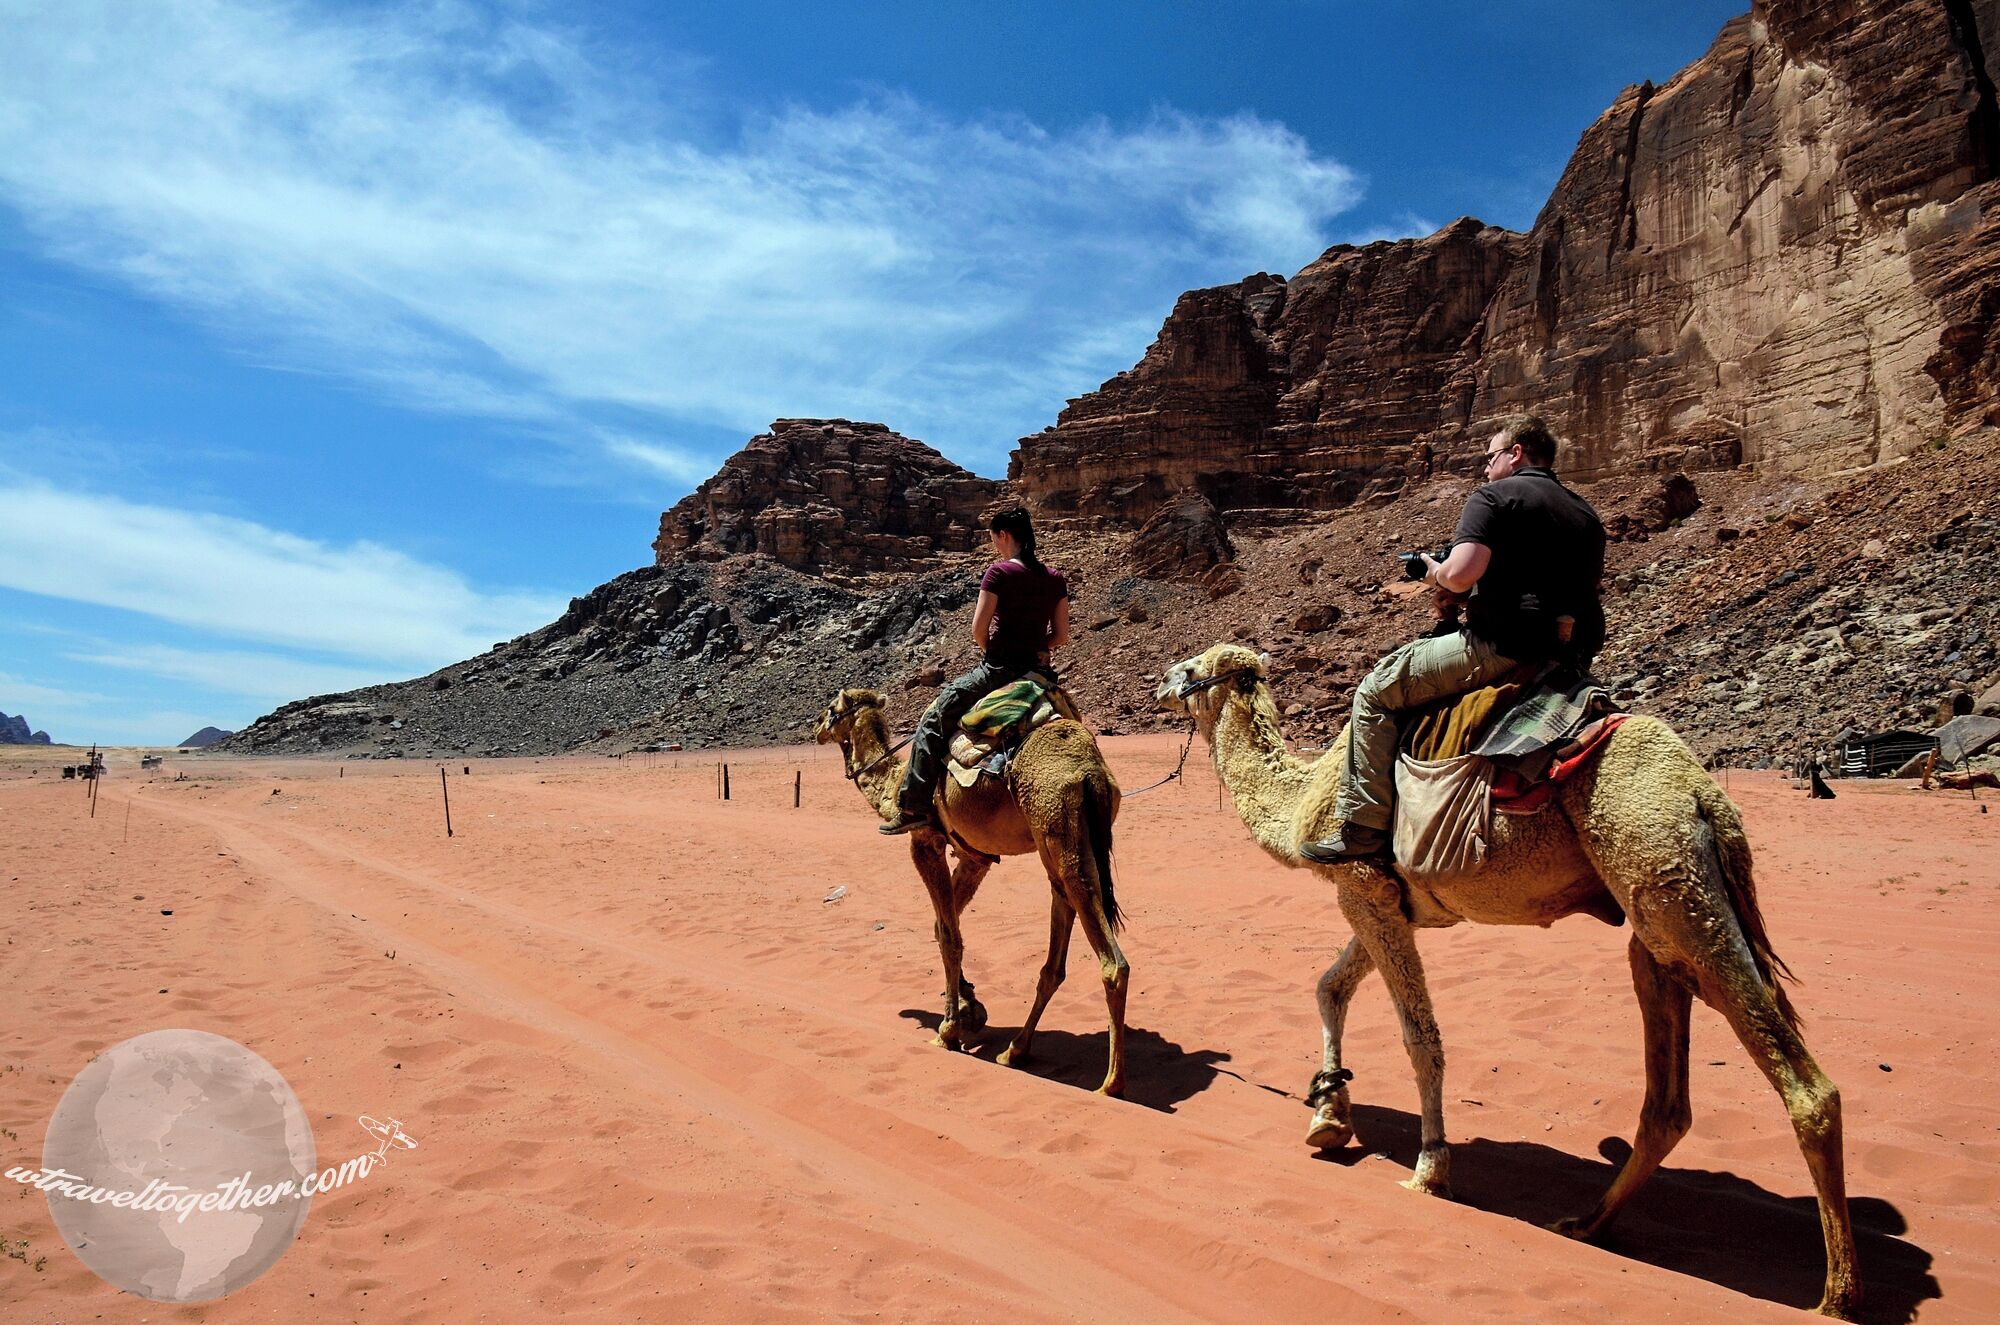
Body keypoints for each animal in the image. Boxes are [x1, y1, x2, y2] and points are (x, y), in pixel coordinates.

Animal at [813, 687, 1131, 1095]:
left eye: (831, 710)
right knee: (1055, 956)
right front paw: (971, 1010)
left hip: (1058, 829)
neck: (893, 784)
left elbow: (950, 937)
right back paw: (1014, 1051)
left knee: (1111, 961)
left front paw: (948, 1030)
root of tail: (1091, 772)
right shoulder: (975, 856)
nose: (815, 728)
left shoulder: (925, 841)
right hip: (1070, 844)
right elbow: (943, 927)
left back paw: (1110, 1083)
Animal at [1156, 643, 1858, 1319]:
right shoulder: (1396, 906)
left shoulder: (1363, 888)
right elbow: (1330, 986)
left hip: (1662, 871)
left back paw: (1835, 1295)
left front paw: (1429, 1167)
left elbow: (1419, 1037)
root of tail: (1704, 796)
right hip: (1661, 911)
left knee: (1804, 1085)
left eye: (1188, 668)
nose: (1159, 685)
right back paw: (1586, 1224)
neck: (1303, 801)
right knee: (1668, 1096)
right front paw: (1329, 1114)